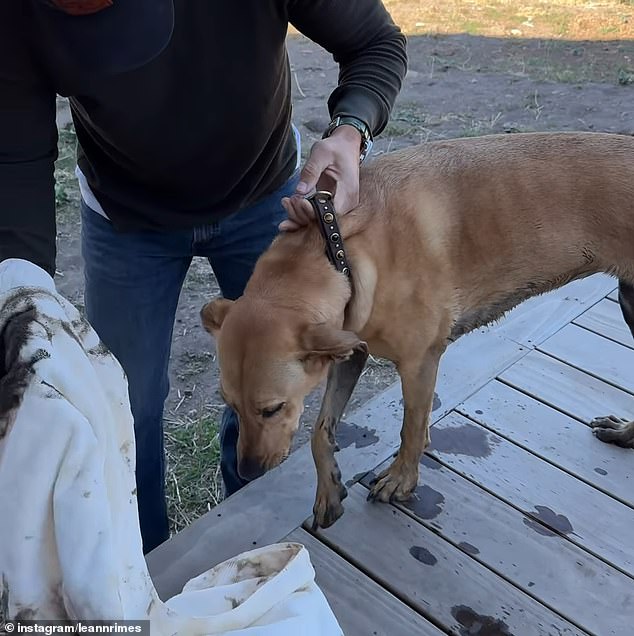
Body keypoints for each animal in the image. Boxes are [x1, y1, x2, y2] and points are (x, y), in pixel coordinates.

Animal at [201, 132, 632, 528]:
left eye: (272, 409)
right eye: (229, 403)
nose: (248, 471)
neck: (338, 249)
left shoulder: (419, 361)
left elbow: (411, 428)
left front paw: (401, 480)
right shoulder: (349, 350)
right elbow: (320, 431)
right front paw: (328, 490)